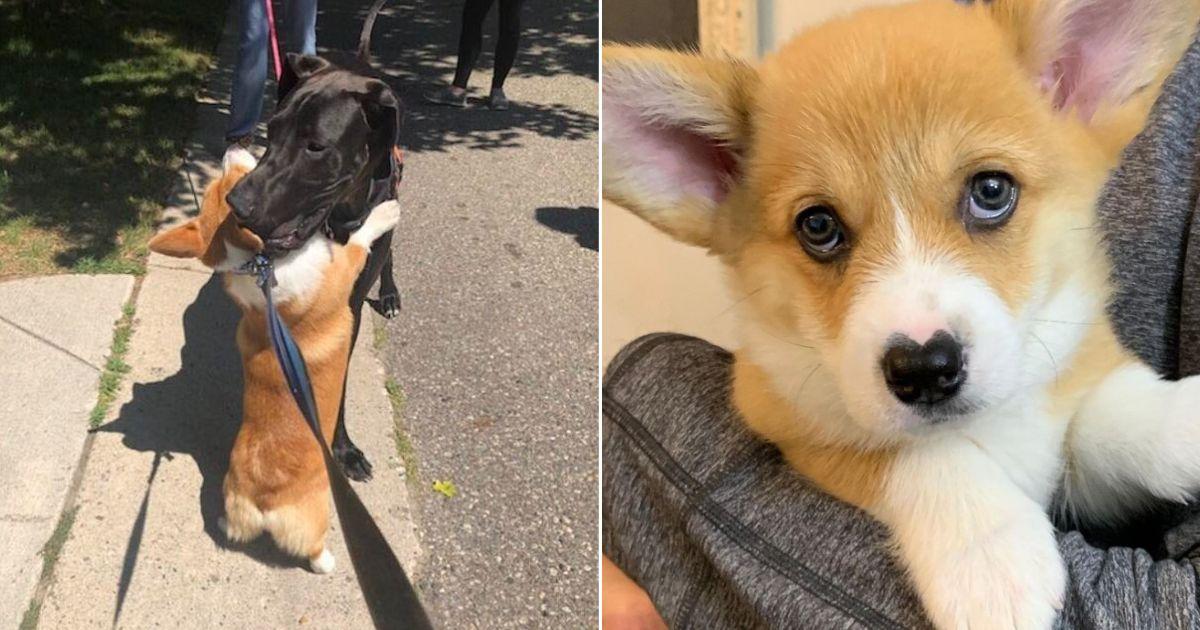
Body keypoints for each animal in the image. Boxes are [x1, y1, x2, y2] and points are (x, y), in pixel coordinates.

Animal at [147, 154, 400, 571]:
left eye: (226, 180)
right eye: (238, 179)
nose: (231, 148)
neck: (258, 266)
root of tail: (260, 503)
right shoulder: (341, 267)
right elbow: (360, 239)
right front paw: (385, 212)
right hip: (316, 516)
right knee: (311, 546)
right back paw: (326, 562)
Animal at [223, 0, 396, 482]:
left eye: (316, 146)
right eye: (273, 129)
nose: (236, 203)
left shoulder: (348, 306)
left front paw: (342, 447)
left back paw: (391, 293)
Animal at [604, 0, 1200, 624]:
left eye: (991, 190)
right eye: (818, 225)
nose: (925, 369)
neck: (992, 424)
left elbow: (1115, 414)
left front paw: (1186, 419)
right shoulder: (784, 417)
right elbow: (913, 452)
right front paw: (990, 558)